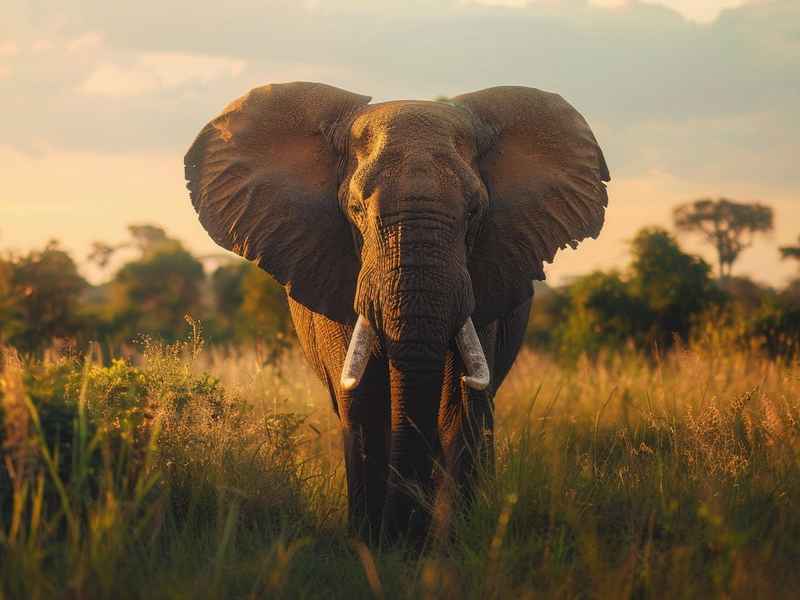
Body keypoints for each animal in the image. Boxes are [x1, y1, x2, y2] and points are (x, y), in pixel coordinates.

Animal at [184, 82, 609, 543]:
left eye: (475, 212)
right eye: (355, 210)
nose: (403, 531)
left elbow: (459, 404)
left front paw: (447, 542)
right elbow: (364, 399)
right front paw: (373, 543)